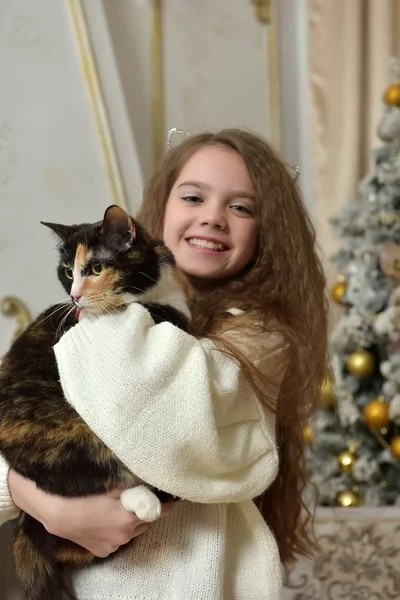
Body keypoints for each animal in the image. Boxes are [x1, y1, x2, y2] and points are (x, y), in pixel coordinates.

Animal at [0, 205, 191, 600]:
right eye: (67, 271)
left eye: (97, 268)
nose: (74, 297)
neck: (154, 291)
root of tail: (27, 530)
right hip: (67, 436)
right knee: (108, 468)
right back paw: (145, 502)